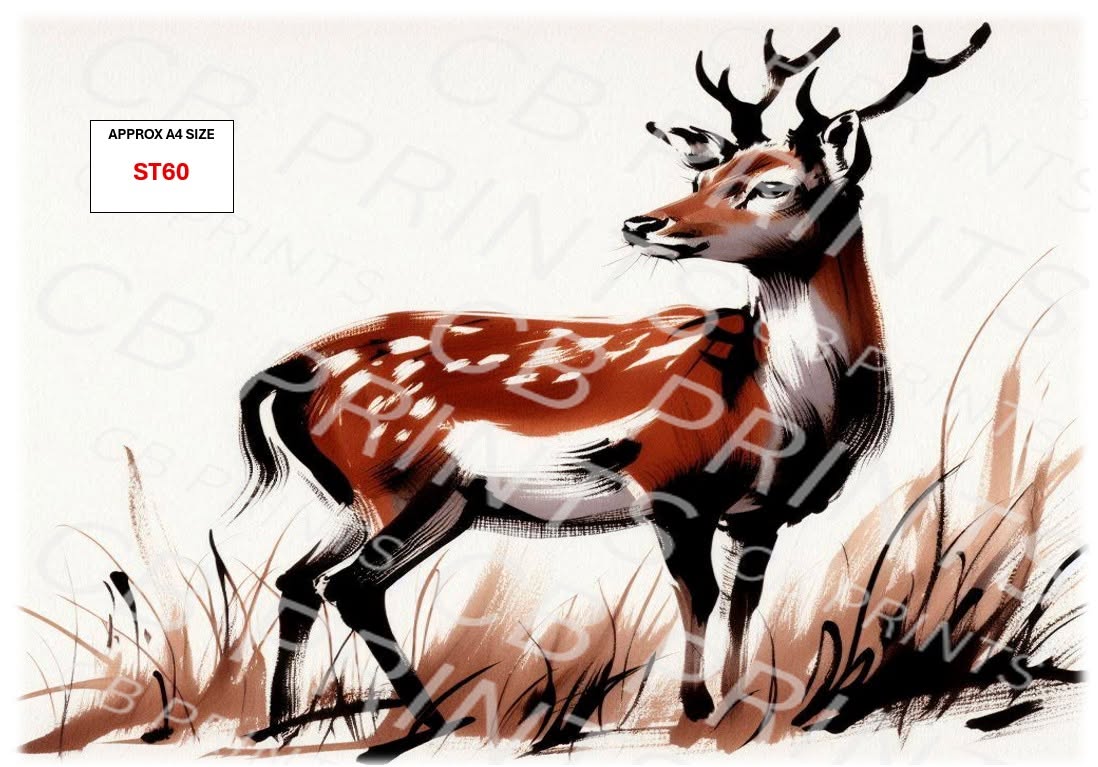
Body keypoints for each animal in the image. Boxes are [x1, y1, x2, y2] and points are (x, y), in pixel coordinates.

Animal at [235, 24, 991, 745]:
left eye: (772, 185)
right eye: (706, 178)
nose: (643, 222)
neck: (787, 408)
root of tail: (293, 367)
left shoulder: (761, 512)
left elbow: (744, 603)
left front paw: (739, 705)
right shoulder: (670, 484)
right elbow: (701, 599)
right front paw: (697, 707)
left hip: (355, 498)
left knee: (299, 578)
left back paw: (281, 720)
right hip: (409, 485)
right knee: (351, 587)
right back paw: (429, 716)